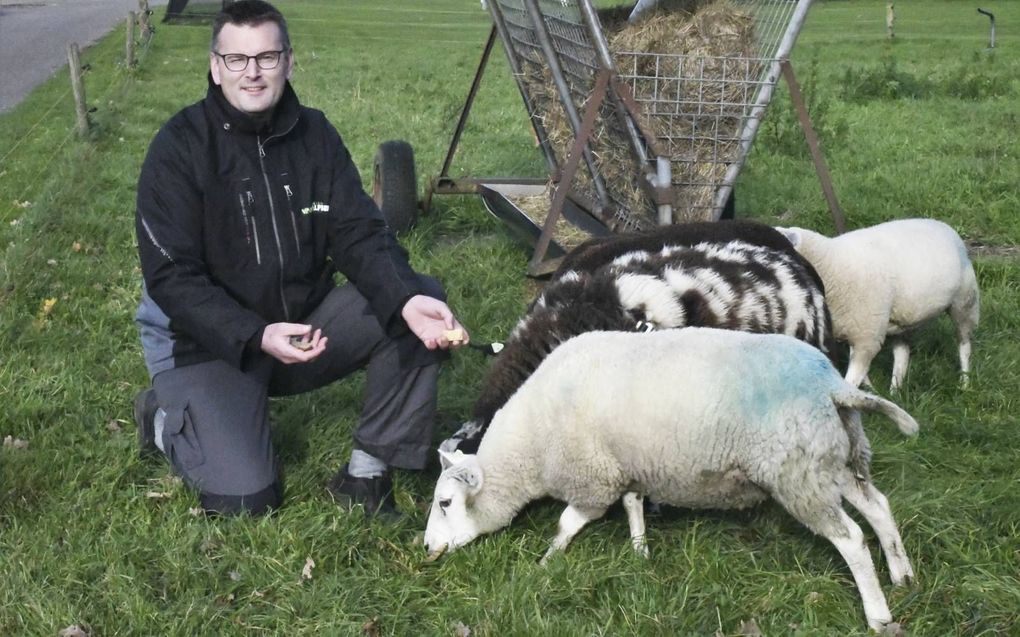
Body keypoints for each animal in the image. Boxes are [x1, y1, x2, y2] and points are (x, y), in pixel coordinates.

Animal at [422, 328, 918, 631]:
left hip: (798, 474)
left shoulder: (593, 478)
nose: (426, 548)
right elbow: (633, 506)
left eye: (445, 503)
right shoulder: (629, 465)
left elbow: (568, 522)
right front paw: (640, 553)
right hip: (833, 458)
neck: (532, 448)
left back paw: (878, 614)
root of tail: (831, 385)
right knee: (878, 507)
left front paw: (547, 561)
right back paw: (902, 575)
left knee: (852, 538)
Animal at [779, 218, 979, 389]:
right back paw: (895, 390)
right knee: (902, 353)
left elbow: (852, 378)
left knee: (964, 346)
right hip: (900, 322)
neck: (830, 263)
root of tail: (943, 225)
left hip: (964, 303)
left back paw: (964, 382)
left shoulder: (867, 335)